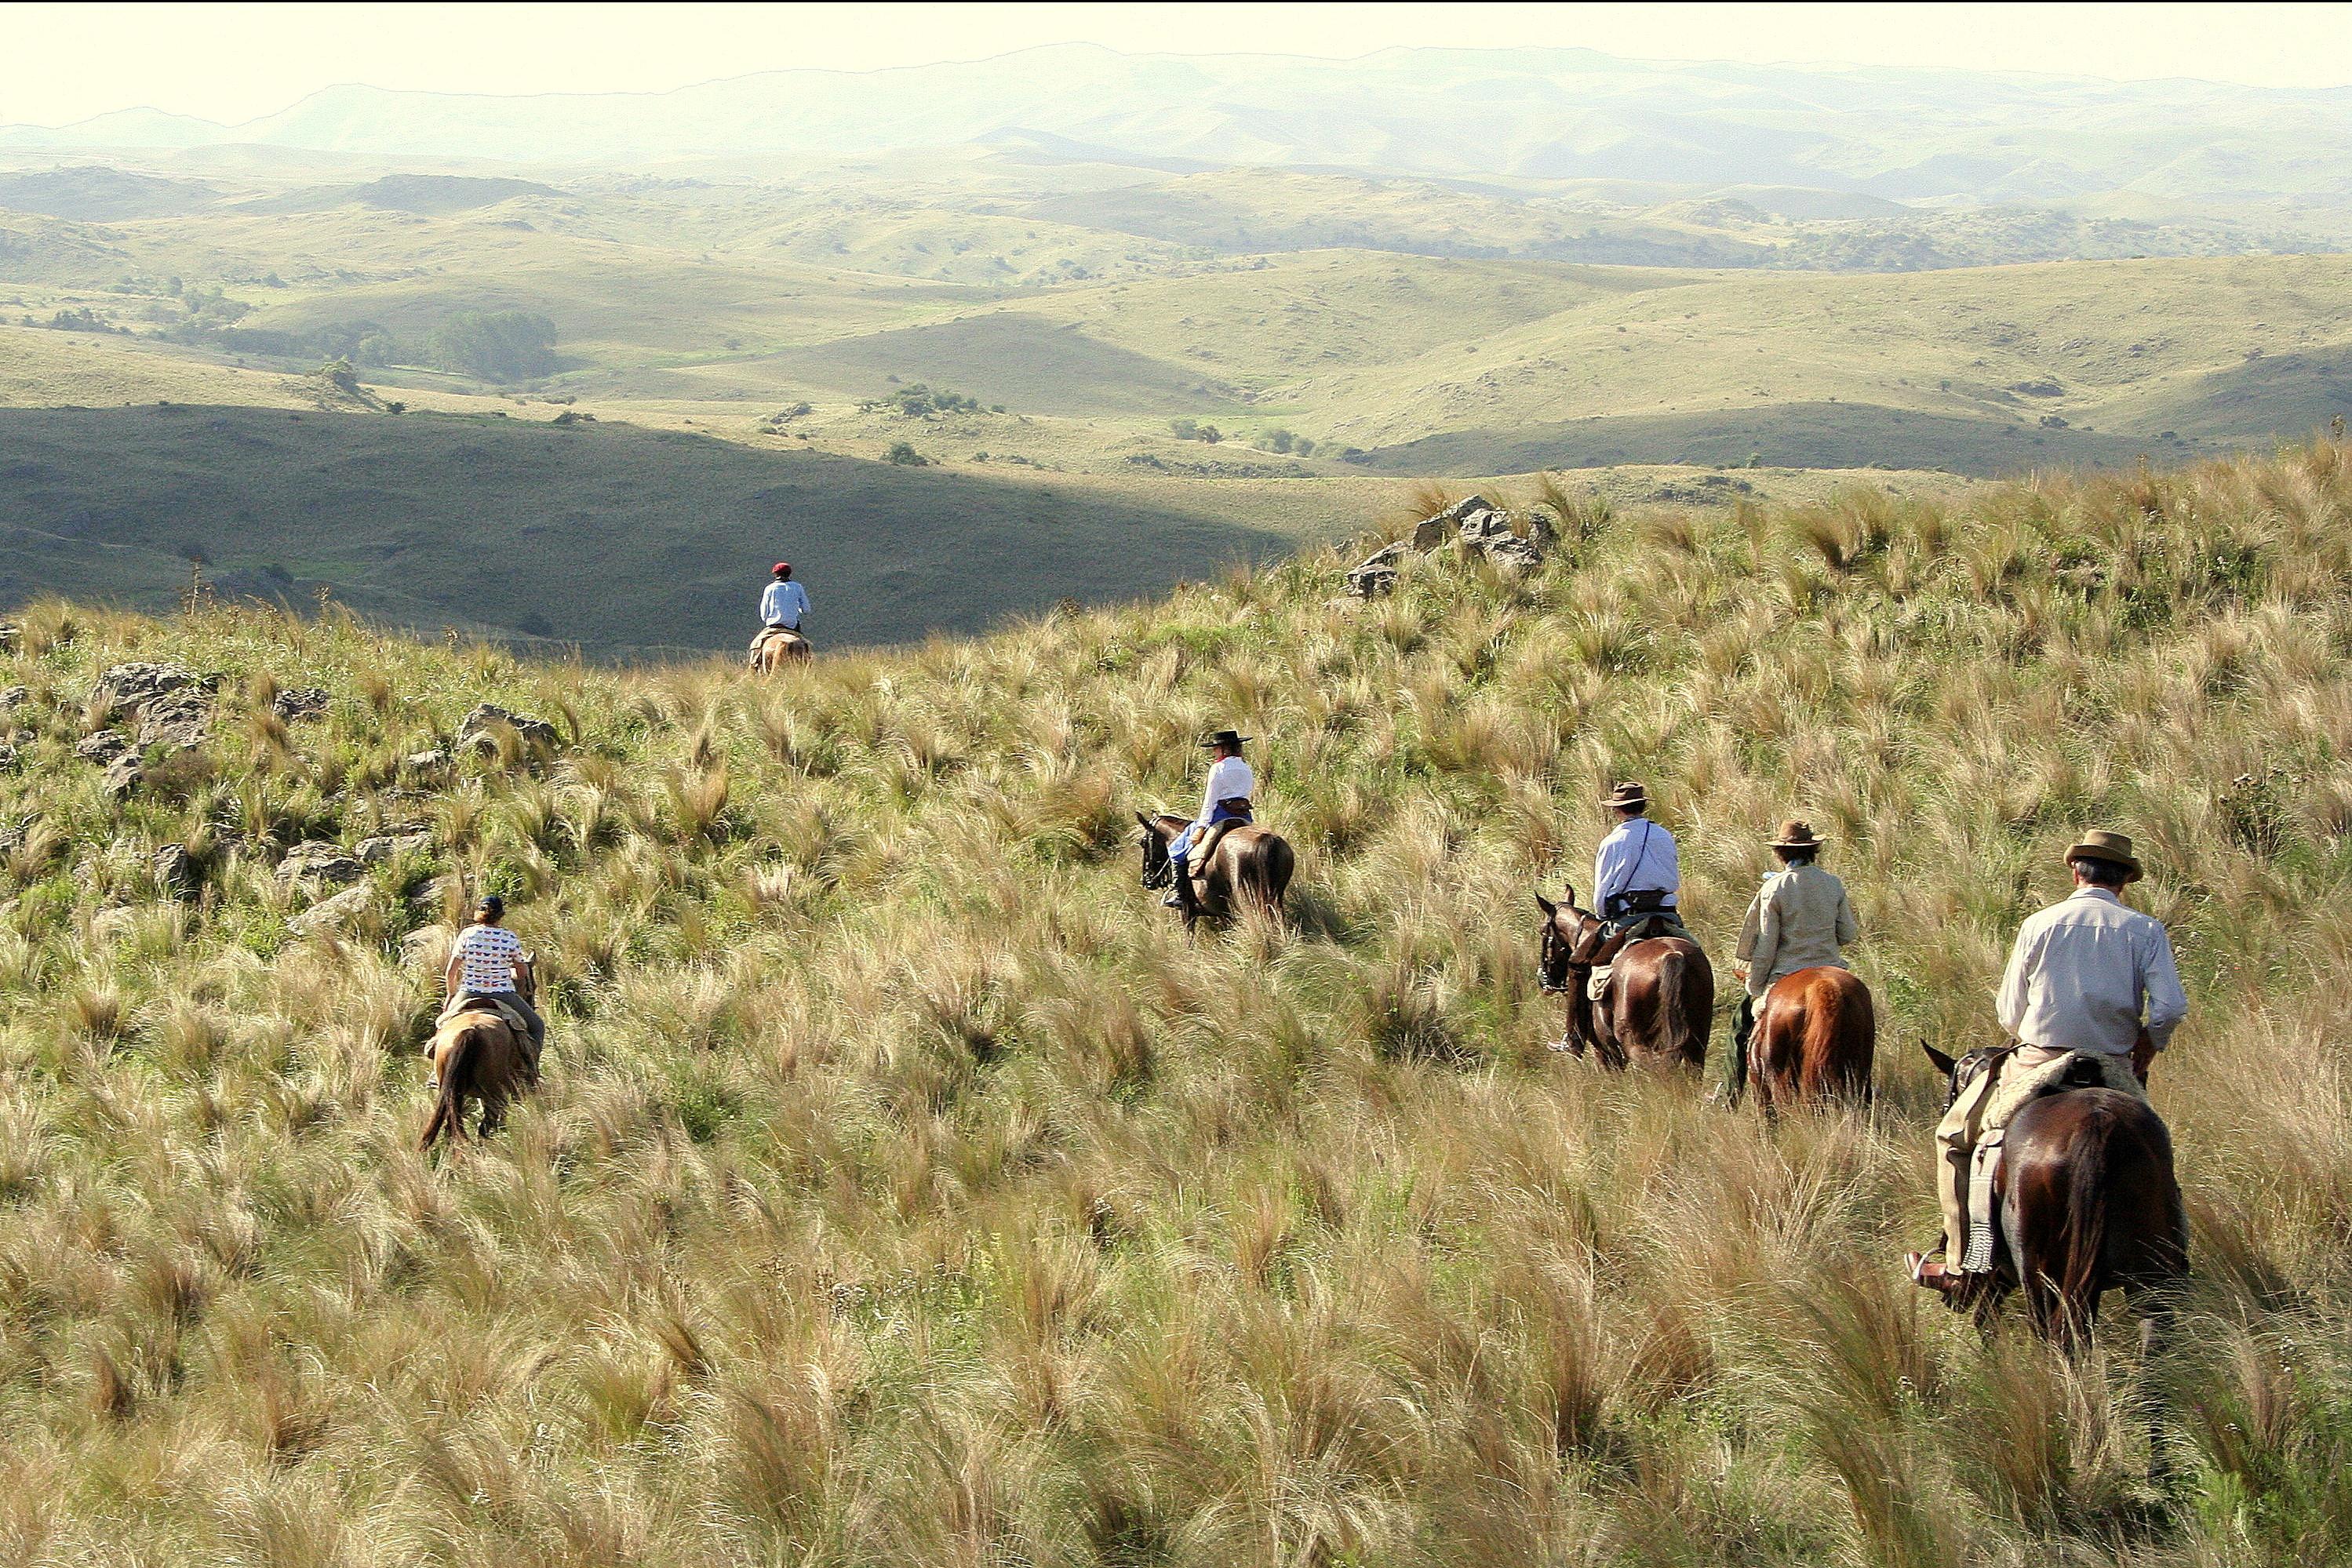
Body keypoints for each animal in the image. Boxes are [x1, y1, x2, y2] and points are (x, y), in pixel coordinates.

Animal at [421, 959, 538, 1151]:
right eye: (533, 985)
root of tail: (469, 1032)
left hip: (454, 1094)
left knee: (454, 1127)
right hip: (495, 1094)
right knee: (486, 1127)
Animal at [1134, 808, 1298, 930]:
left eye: (1143, 842)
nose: (1146, 880)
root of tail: (1265, 839)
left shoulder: (1187, 911)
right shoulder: (1224, 914)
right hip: (1275, 898)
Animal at [1524, 888, 1712, 1071]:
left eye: (1542, 931)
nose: (1543, 979)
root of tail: (1672, 955)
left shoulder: (1605, 1052)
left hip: (1635, 1042)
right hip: (1697, 1042)